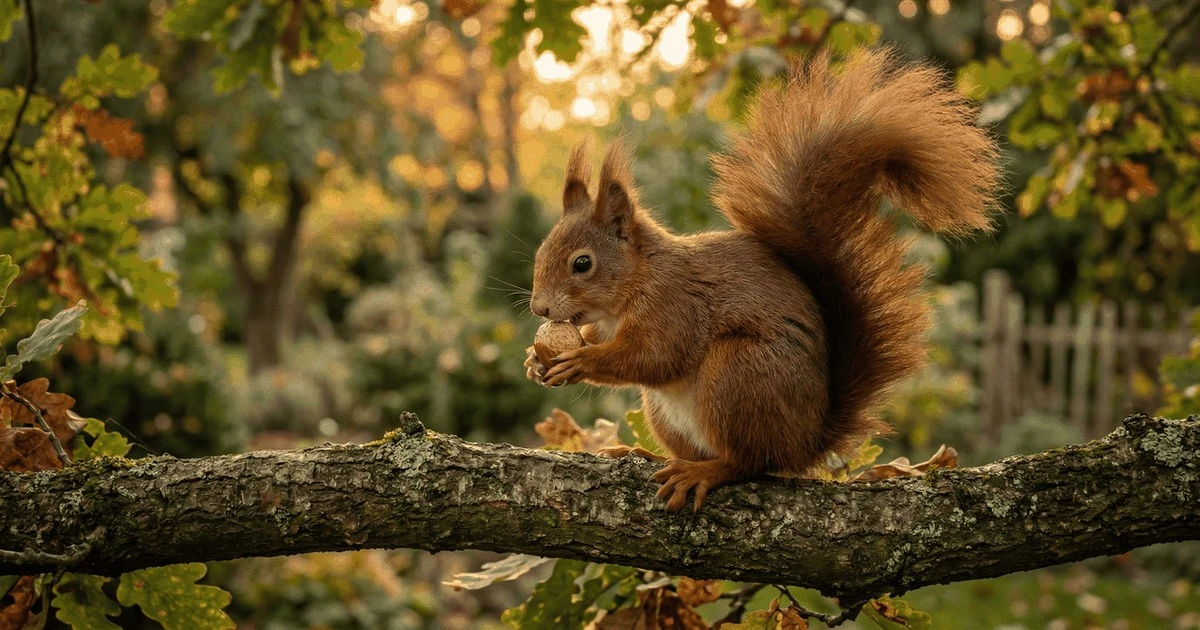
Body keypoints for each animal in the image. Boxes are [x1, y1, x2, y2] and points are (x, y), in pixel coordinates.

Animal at [523, 48, 1001, 512]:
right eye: (541, 250)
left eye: (582, 264)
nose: (539, 308)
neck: (636, 281)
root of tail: (806, 443)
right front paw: (535, 359)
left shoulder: (676, 305)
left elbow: (655, 357)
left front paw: (581, 361)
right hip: (667, 410)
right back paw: (646, 454)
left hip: (737, 374)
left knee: (749, 461)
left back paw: (704, 472)